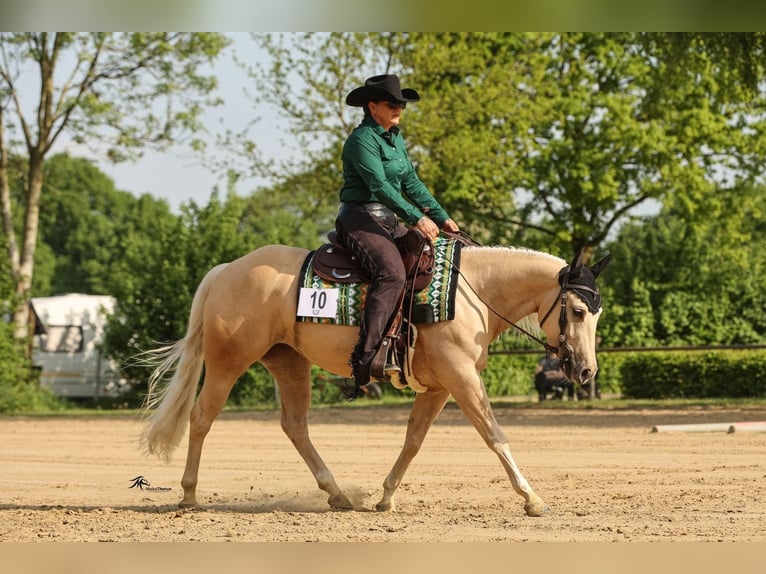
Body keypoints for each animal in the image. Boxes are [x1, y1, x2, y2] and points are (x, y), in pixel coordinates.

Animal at [139, 241, 610, 517]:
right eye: (579, 311)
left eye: (597, 312)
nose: (586, 371)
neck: (471, 292)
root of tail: (227, 270)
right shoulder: (461, 379)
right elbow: (495, 435)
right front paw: (532, 498)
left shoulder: (440, 387)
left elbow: (414, 440)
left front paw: (385, 496)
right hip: (227, 363)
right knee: (201, 418)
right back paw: (189, 494)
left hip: (289, 363)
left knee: (295, 427)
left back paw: (337, 494)